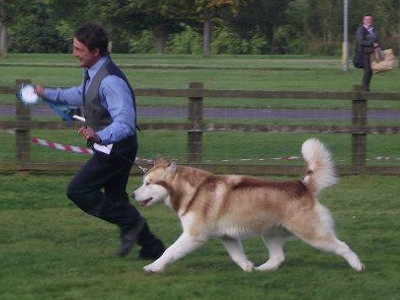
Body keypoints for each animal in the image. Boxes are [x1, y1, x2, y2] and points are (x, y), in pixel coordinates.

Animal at [133, 139, 364, 274]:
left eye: (148, 183)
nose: (133, 194)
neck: (192, 191)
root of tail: (302, 185)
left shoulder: (193, 236)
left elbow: (169, 252)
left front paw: (153, 266)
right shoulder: (228, 236)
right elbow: (237, 255)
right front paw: (247, 267)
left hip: (313, 234)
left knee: (343, 246)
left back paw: (357, 265)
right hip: (270, 233)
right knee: (278, 257)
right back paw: (263, 269)